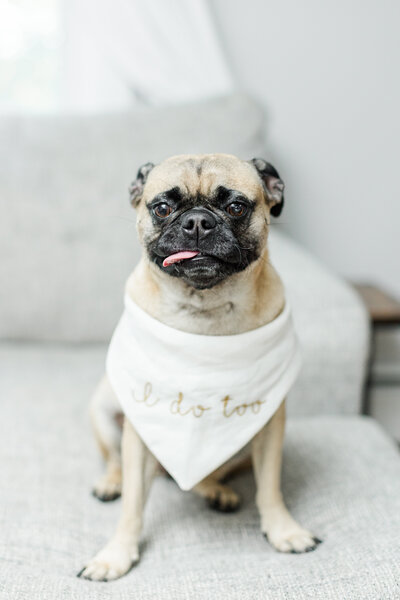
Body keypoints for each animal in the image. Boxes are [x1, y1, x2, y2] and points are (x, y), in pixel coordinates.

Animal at [78, 154, 322, 580]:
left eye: (236, 207)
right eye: (162, 208)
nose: (196, 222)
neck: (205, 311)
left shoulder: (271, 427)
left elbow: (270, 487)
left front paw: (284, 530)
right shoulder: (138, 432)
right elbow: (133, 507)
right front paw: (116, 554)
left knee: (204, 476)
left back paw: (215, 491)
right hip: (105, 410)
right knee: (116, 461)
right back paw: (111, 483)